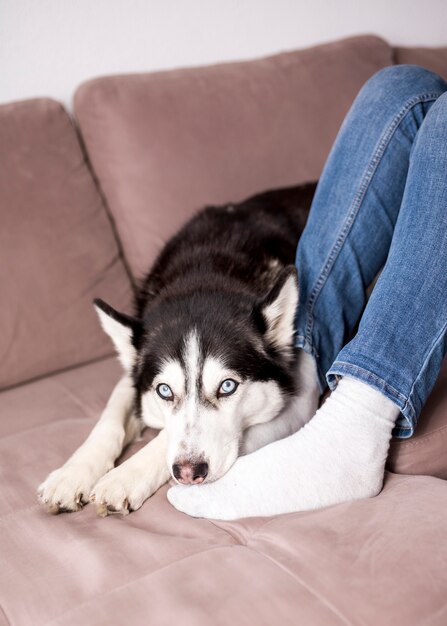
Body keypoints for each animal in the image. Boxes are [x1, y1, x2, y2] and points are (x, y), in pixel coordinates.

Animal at [39, 183, 318, 516]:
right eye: (164, 391)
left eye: (227, 386)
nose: (188, 472)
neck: (206, 272)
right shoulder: (136, 377)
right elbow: (109, 419)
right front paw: (72, 474)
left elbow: (163, 438)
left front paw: (123, 478)